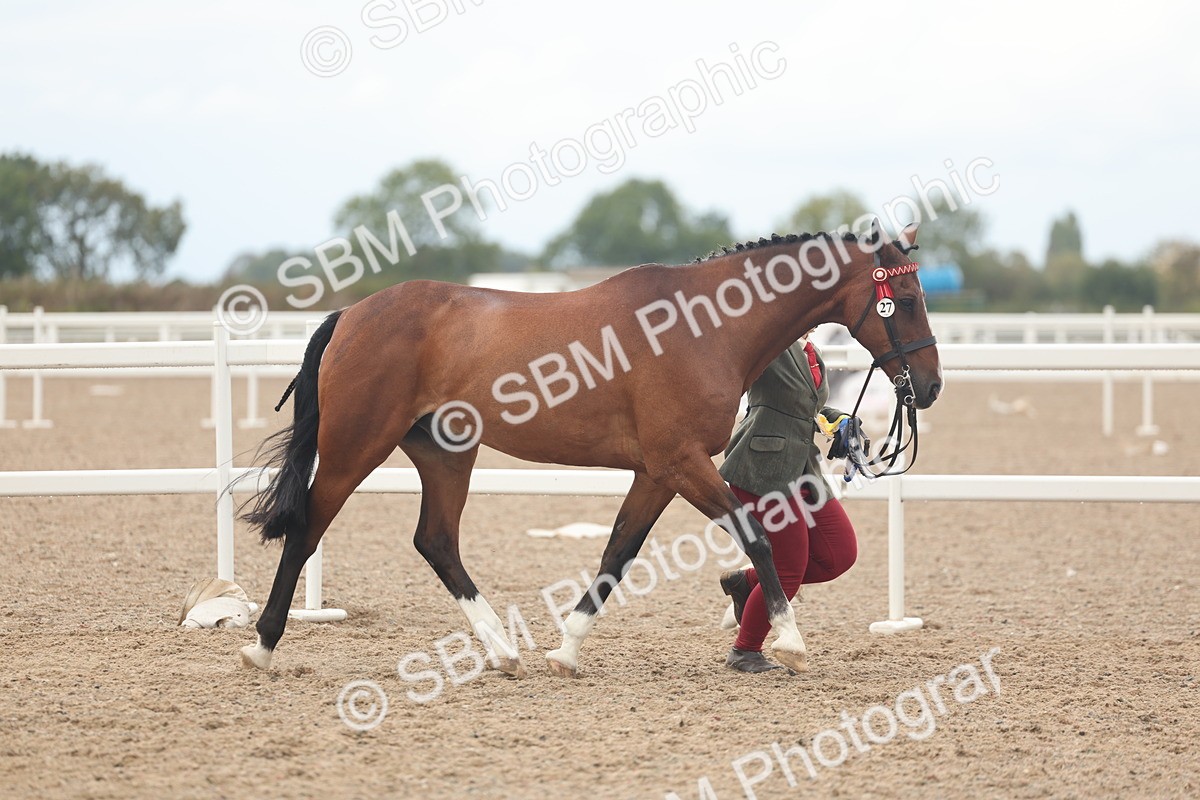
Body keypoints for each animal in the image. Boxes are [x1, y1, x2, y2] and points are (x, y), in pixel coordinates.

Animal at [237, 220, 942, 678]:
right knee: (308, 527)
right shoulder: (682, 463)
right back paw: (263, 646)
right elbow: (757, 535)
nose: (930, 386)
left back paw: (503, 651)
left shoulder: (658, 472)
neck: (706, 326)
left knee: (435, 539)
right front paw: (791, 640)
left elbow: (617, 553)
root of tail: (351, 315)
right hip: (355, 446)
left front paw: (566, 649)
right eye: (905, 300)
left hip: (445, 453)